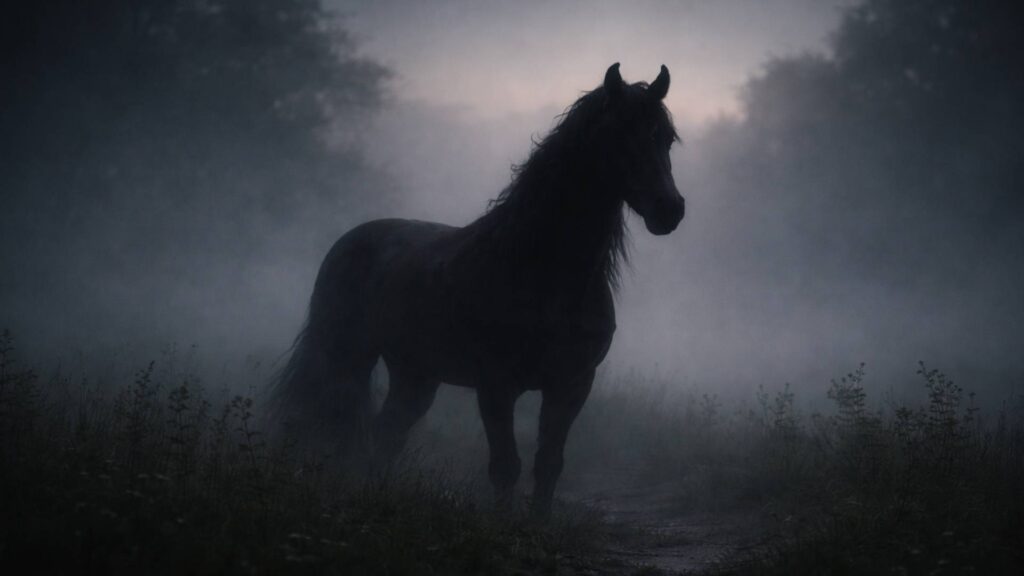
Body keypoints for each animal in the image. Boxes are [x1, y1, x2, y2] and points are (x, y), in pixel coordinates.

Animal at [272, 63, 685, 515]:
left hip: (415, 373)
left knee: (387, 435)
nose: (669, 209)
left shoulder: (572, 384)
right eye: (619, 133)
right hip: (346, 357)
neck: (547, 274)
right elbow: (505, 468)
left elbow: (548, 465)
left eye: (665, 138)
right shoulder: (495, 385)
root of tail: (353, 239)